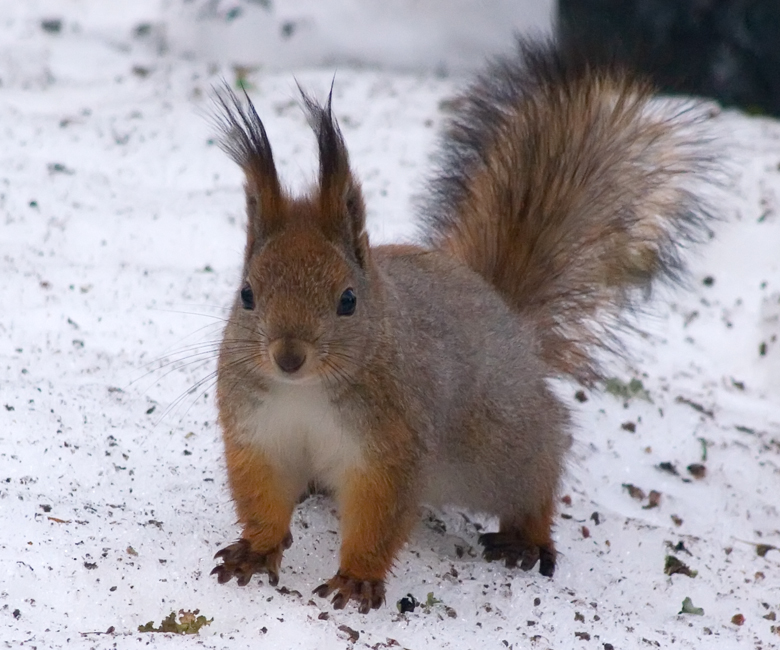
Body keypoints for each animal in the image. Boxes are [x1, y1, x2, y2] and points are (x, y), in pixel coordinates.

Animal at [209, 38, 720, 612]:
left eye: (347, 300)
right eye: (246, 294)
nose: (288, 356)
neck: (305, 392)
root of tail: (510, 321)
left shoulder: (393, 448)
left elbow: (379, 519)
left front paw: (357, 579)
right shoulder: (258, 435)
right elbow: (263, 498)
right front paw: (255, 552)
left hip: (504, 447)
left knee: (538, 479)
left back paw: (526, 540)